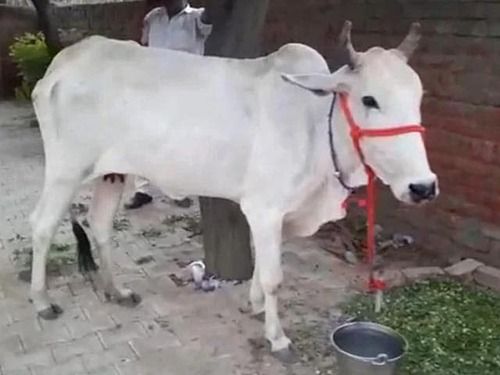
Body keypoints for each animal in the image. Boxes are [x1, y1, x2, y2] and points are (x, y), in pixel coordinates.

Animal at [31, 21, 438, 362]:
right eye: (369, 99)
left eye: (419, 97)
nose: (423, 186)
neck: (315, 123)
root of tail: (61, 66)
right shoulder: (265, 208)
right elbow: (275, 277)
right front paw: (278, 338)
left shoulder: (277, 214)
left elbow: (263, 264)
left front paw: (253, 303)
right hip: (66, 170)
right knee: (42, 226)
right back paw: (42, 301)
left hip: (112, 173)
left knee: (99, 225)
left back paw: (116, 291)